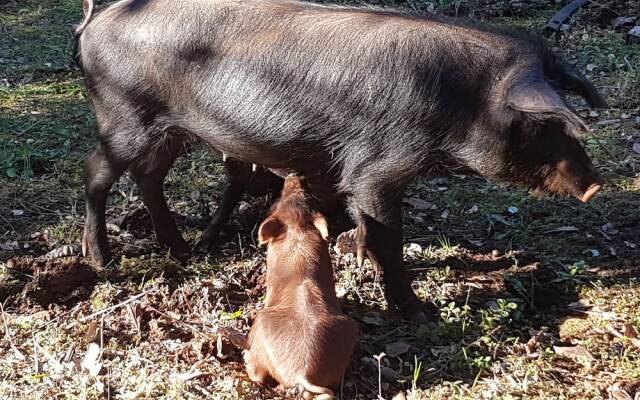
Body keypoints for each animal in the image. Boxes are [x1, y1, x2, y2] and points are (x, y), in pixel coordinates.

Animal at [75, 0, 604, 320]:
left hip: (170, 131)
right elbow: (388, 236)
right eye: (541, 125)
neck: (460, 102)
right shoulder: (377, 169)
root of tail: (97, 20)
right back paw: (102, 261)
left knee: (148, 177)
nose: (595, 185)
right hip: (122, 117)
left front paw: (360, 256)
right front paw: (416, 312)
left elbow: (367, 229)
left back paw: (181, 250)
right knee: (97, 173)